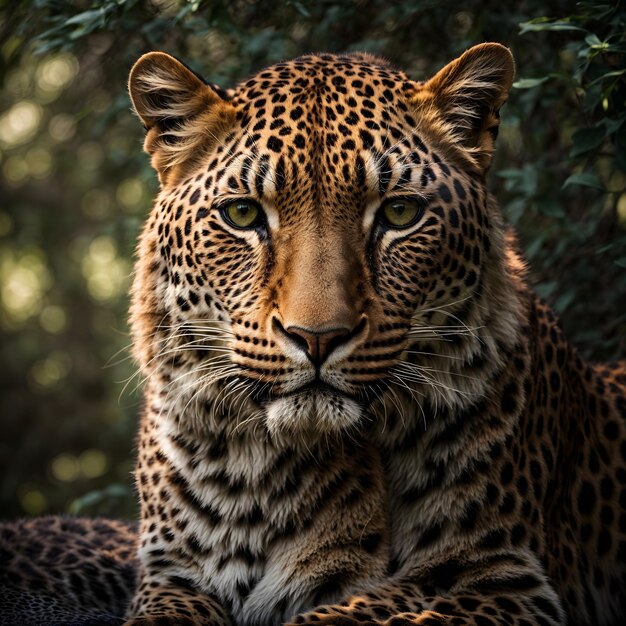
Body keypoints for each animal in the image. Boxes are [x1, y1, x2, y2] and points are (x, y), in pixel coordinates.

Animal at [1, 44, 624, 624]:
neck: (272, 482)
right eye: (243, 214)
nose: (318, 337)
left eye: (399, 213)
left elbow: (344, 615)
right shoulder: (172, 576)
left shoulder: (499, 579)